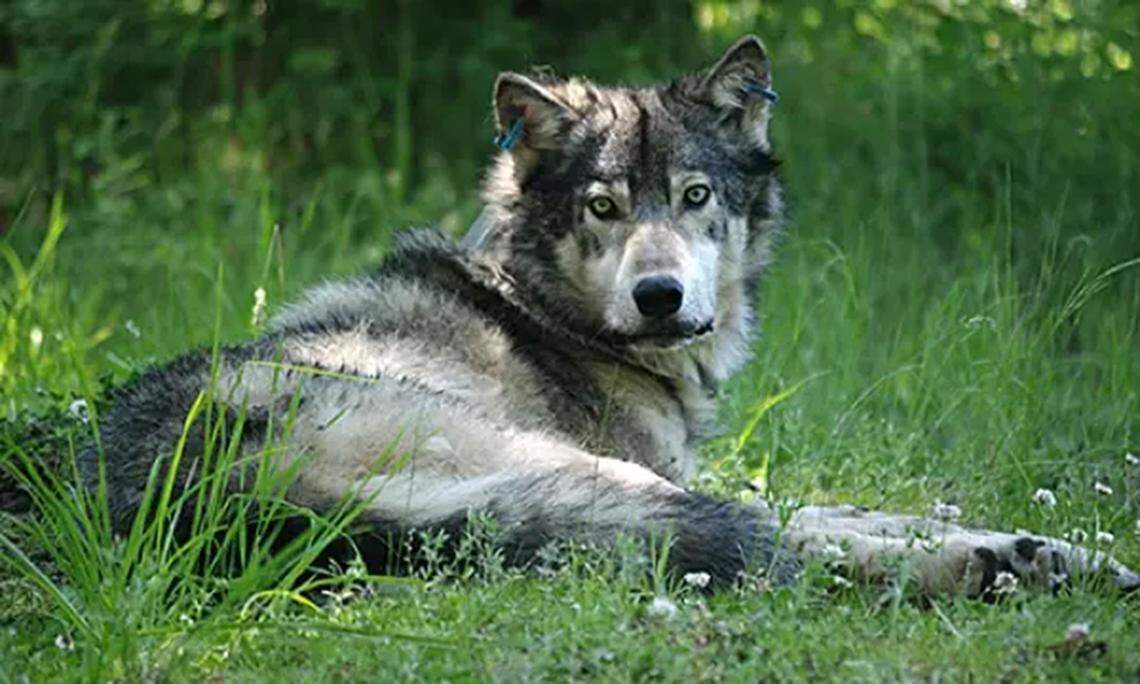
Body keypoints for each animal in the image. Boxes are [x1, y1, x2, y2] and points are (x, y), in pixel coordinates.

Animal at [78, 36, 1137, 596]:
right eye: (603, 206)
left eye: (697, 196)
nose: (659, 296)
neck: (544, 313)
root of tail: (201, 502)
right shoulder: (652, 470)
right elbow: (822, 519)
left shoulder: (681, 470)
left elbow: (858, 504)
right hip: (563, 471)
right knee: (778, 547)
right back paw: (1003, 568)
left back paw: (1035, 557)